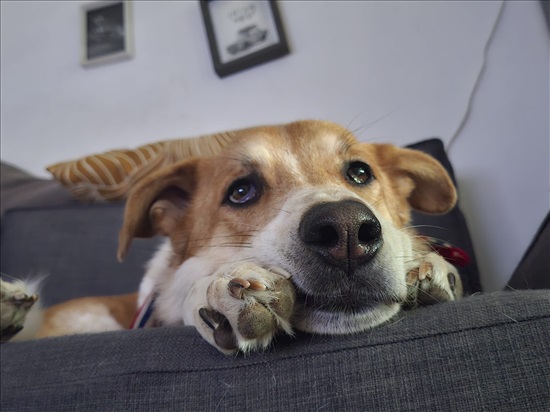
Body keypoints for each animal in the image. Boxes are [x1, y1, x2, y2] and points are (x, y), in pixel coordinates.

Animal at [1, 120, 466, 354]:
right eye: (241, 192)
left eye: (360, 172)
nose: (348, 230)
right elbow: (193, 283)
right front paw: (217, 291)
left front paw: (429, 265)